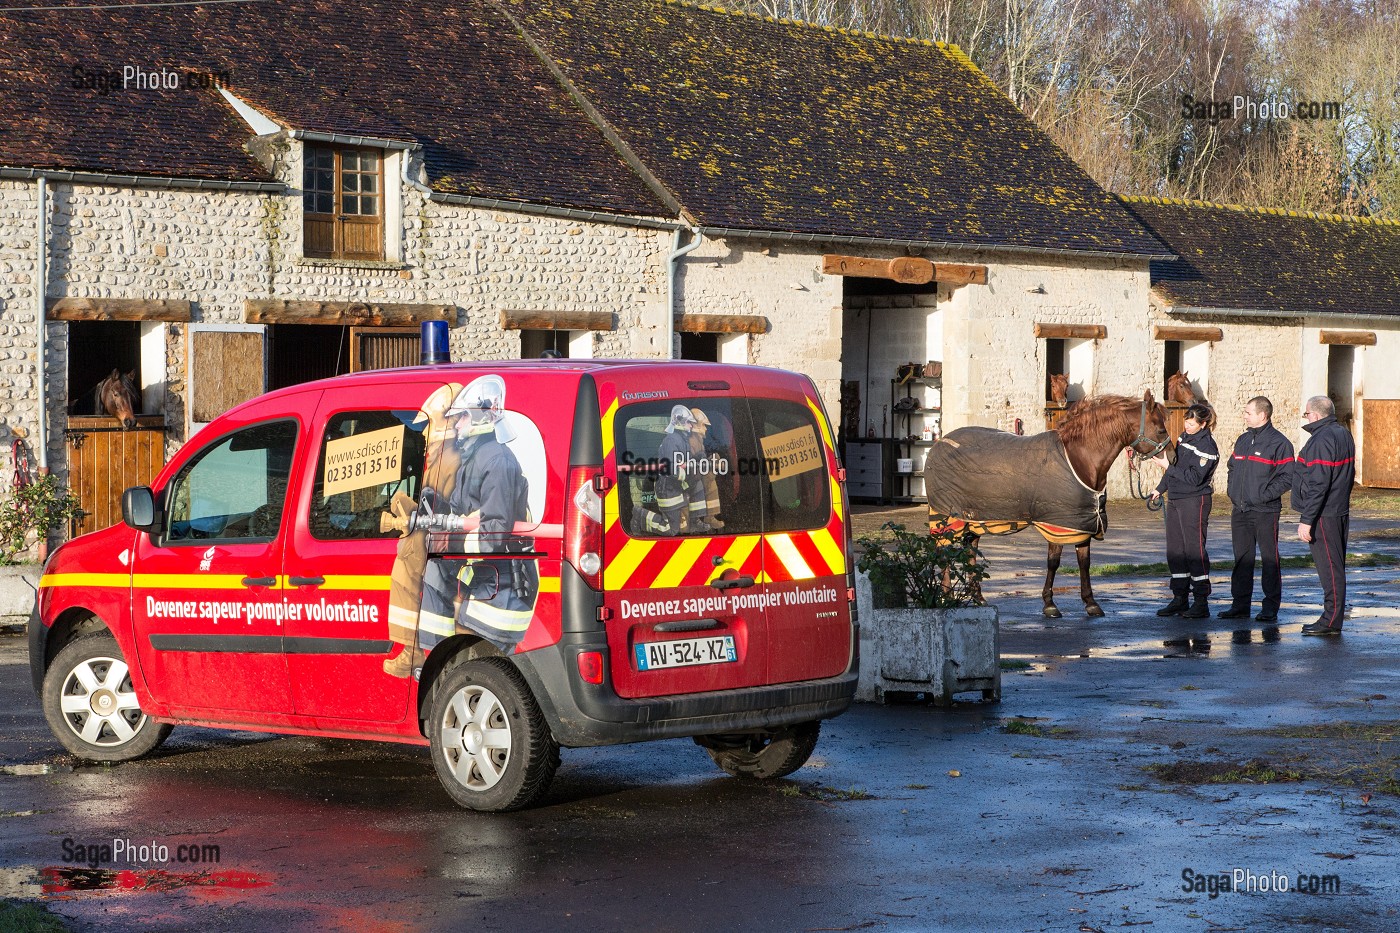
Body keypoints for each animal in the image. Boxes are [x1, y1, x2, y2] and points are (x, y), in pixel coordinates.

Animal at [924, 386, 1176, 613]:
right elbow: (1053, 562)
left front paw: (1091, 603)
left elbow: (1084, 561)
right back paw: (946, 598)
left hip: (974, 519)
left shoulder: (1082, 522)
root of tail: (938, 444)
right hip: (947, 518)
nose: (1173, 458)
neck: (1079, 458)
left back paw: (977, 598)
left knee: (970, 553)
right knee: (944, 553)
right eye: (1160, 429)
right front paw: (1049, 604)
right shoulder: (1058, 523)